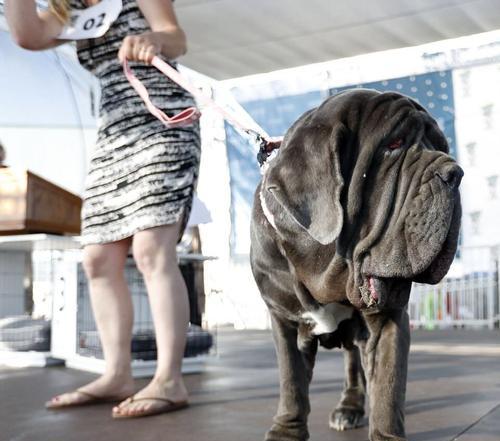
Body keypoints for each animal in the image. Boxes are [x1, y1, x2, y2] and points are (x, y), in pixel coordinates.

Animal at [249, 89, 460, 440]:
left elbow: (388, 387)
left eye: (442, 146)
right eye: (393, 144)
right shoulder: (283, 318)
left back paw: (349, 408)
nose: (454, 173)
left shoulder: (387, 320)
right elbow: (291, 381)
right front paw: (286, 431)